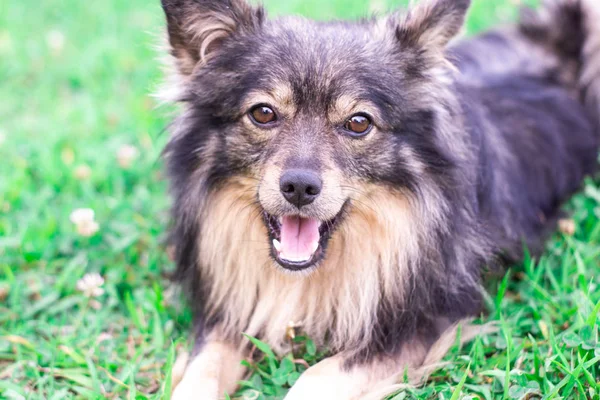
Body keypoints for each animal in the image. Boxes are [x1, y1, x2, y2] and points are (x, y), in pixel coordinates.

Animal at [159, 0, 600, 398]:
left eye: (358, 123)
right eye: (263, 113)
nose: (299, 187)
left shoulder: (425, 319)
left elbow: (318, 377)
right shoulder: (231, 309)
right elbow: (202, 369)